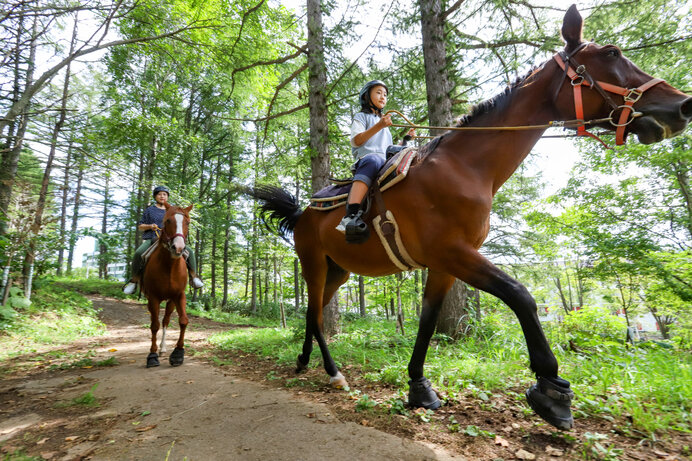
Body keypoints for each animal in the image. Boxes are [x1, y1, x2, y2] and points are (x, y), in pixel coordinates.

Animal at [141, 201, 193, 366]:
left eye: (187, 222)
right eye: (168, 221)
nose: (178, 247)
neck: (169, 266)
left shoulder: (179, 295)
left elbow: (183, 321)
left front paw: (178, 353)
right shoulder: (154, 297)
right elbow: (154, 325)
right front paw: (152, 355)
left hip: (170, 301)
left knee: (166, 320)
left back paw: (163, 348)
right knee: (156, 321)